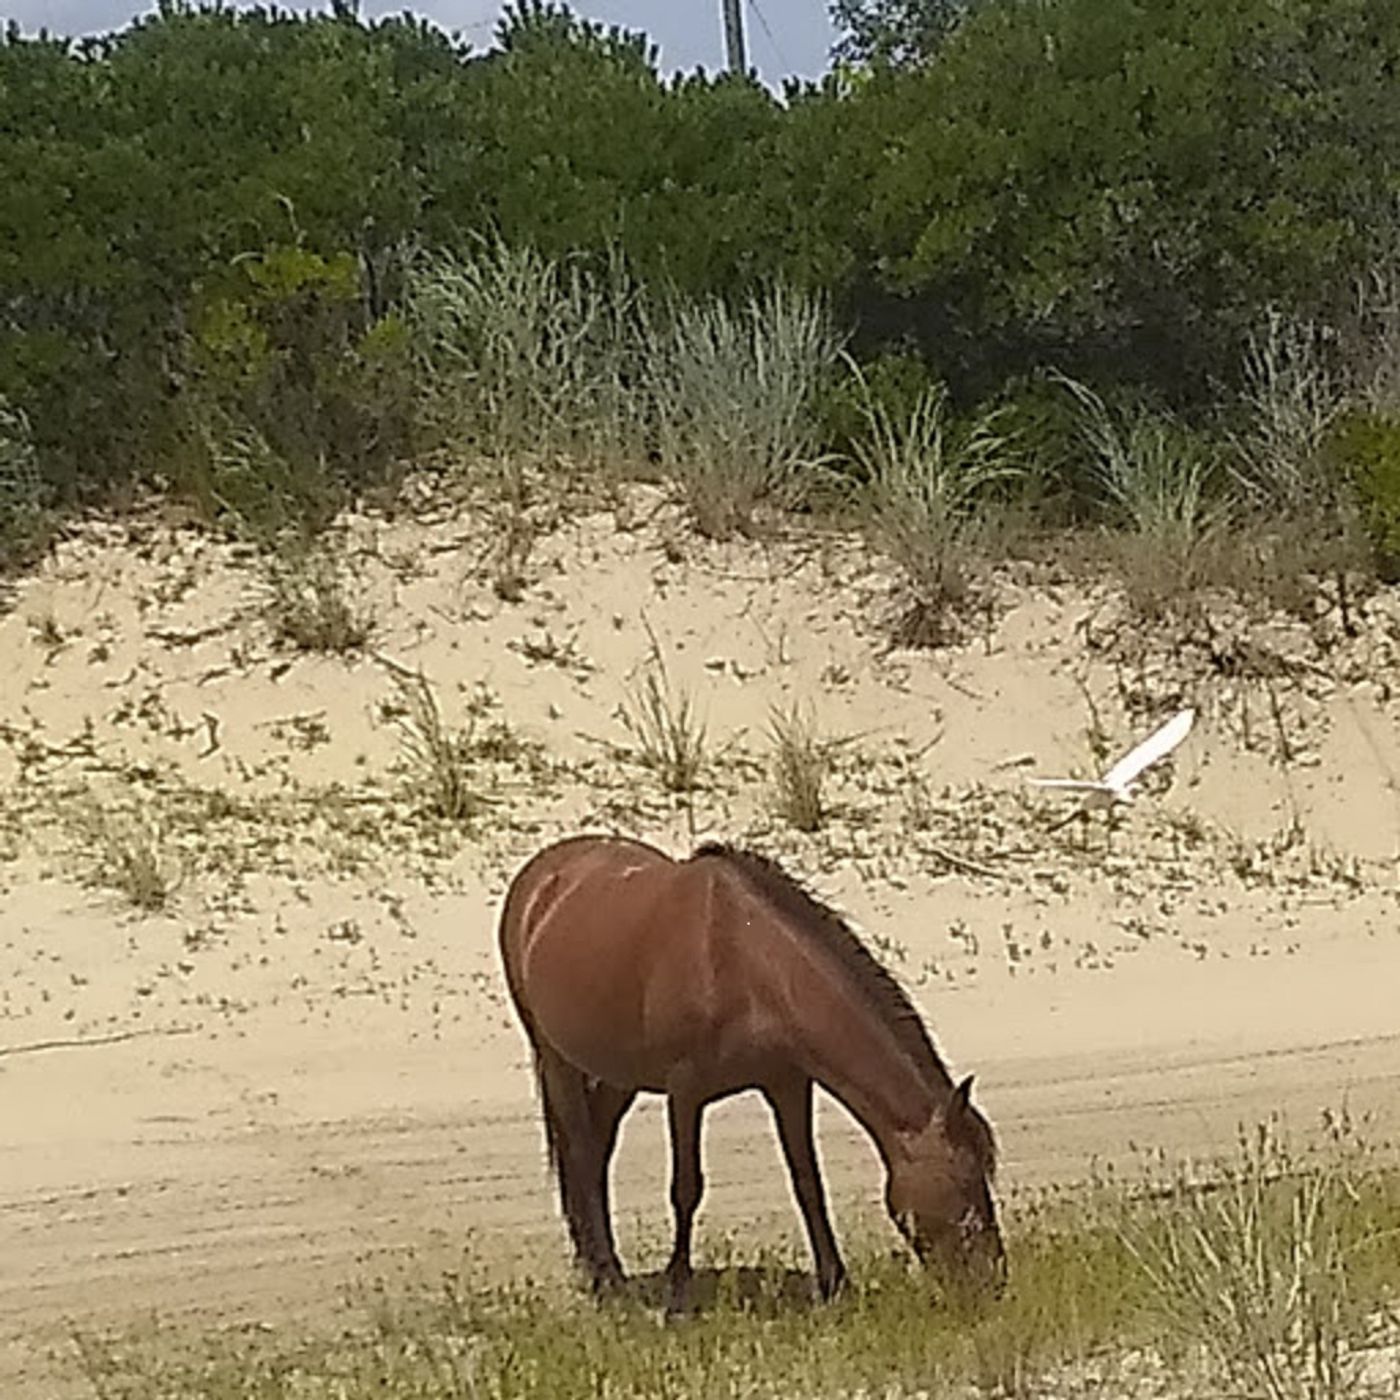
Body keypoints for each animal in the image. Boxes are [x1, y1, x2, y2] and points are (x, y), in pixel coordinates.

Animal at [496, 833, 1005, 1312]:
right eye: (963, 1185)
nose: (993, 1283)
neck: (742, 960)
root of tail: (539, 877)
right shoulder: (685, 1090)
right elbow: (686, 1189)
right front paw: (678, 1296)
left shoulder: (788, 1085)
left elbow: (808, 1182)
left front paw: (836, 1284)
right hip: (556, 1059)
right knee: (582, 1155)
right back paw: (608, 1282)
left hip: (617, 1075)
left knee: (597, 1154)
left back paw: (601, 1267)